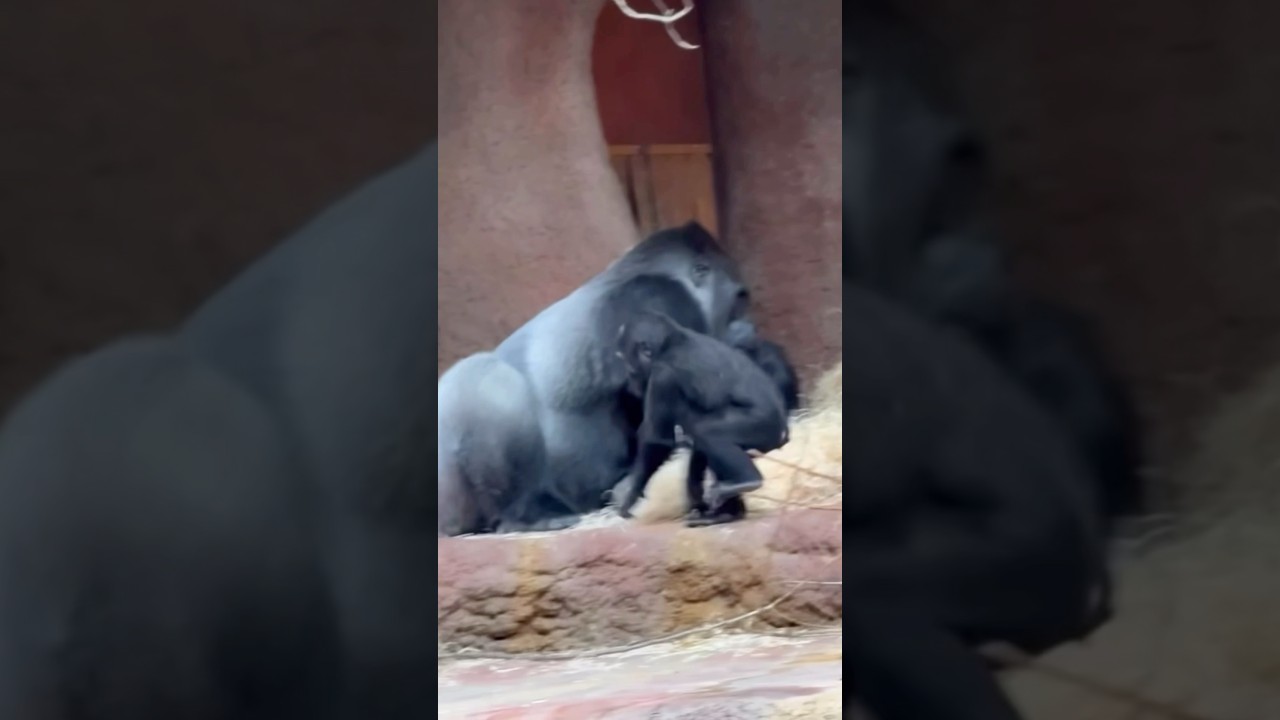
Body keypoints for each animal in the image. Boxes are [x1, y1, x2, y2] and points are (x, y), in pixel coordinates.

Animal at [611, 311, 790, 528]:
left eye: (629, 366)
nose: (631, 384)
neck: (670, 344)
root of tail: (784, 434)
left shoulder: (662, 377)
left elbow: (657, 442)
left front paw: (631, 496)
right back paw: (725, 512)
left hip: (761, 427)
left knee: (708, 434)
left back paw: (748, 481)